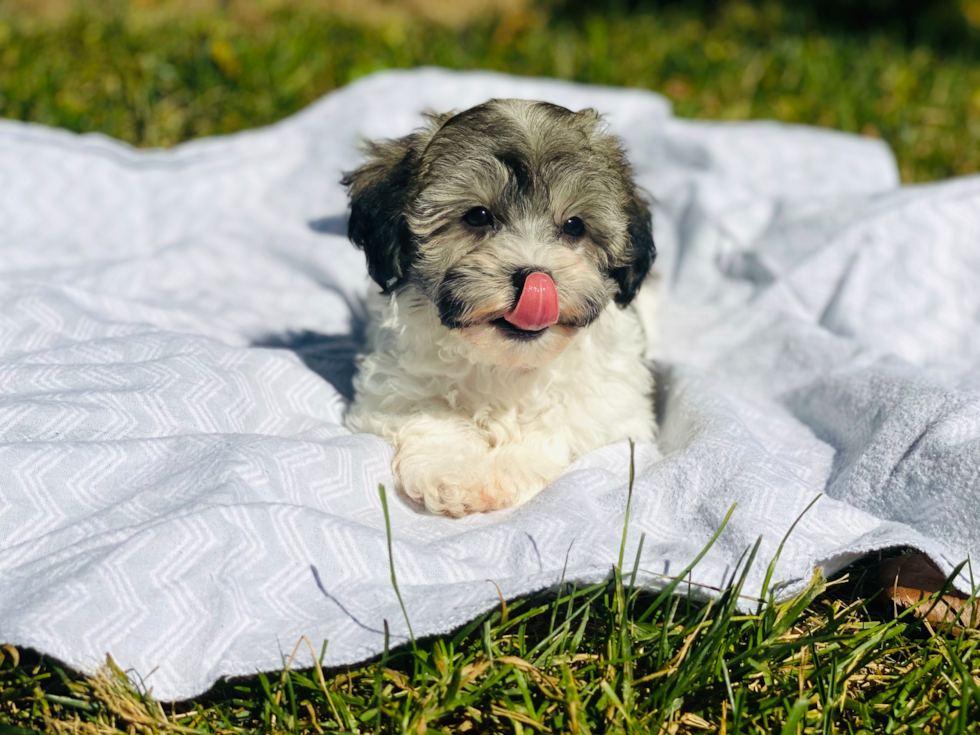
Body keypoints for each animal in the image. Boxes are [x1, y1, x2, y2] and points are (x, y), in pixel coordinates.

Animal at [344, 99, 660, 516]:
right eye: (478, 216)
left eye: (574, 226)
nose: (534, 278)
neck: (507, 364)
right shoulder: (391, 385)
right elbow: (429, 412)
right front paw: (451, 471)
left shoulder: (613, 409)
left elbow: (557, 426)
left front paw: (503, 470)